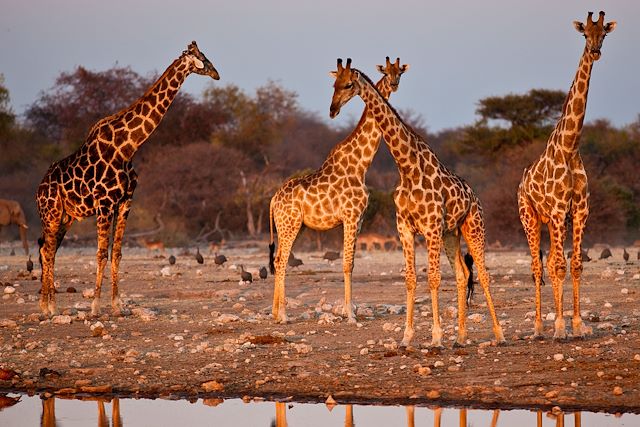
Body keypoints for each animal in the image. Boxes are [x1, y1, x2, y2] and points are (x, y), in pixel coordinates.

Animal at [35, 41, 220, 316]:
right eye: (204, 58)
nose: (217, 74)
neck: (127, 147)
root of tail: (39, 189)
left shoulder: (125, 202)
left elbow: (117, 253)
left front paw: (117, 306)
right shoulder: (104, 203)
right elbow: (101, 253)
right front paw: (95, 307)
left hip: (66, 218)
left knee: (47, 249)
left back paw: (46, 304)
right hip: (51, 213)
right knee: (47, 250)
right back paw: (49, 308)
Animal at [268, 57, 408, 324]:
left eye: (399, 72)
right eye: (337, 84)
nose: (333, 110)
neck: (360, 165)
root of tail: (272, 201)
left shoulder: (359, 219)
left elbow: (351, 262)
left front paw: (348, 311)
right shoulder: (350, 216)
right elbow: (347, 264)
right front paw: (350, 315)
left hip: (290, 226)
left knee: (279, 258)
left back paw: (274, 313)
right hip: (290, 224)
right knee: (280, 261)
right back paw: (284, 315)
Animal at [330, 59, 504, 348]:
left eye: (348, 85)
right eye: (333, 84)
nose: (333, 109)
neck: (407, 167)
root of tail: (476, 197)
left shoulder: (430, 228)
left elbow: (433, 279)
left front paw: (436, 337)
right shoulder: (405, 228)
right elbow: (411, 280)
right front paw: (406, 337)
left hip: (473, 228)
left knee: (484, 274)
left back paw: (499, 334)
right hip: (451, 234)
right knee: (462, 275)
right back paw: (460, 337)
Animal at [516, 10, 616, 342]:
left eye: (604, 33)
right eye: (585, 34)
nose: (595, 52)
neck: (570, 147)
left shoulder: (580, 211)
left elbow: (575, 265)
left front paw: (578, 325)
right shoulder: (560, 209)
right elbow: (560, 266)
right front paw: (560, 328)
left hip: (551, 221)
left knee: (548, 263)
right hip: (530, 217)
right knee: (537, 266)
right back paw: (538, 327)